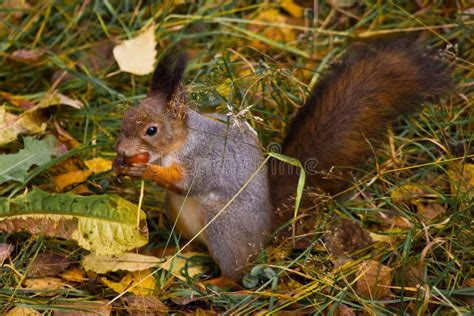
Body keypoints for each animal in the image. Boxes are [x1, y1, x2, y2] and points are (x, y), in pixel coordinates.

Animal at [114, 35, 452, 280]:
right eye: (125, 118)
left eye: (152, 130)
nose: (121, 150)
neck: (179, 143)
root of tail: (265, 230)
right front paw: (120, 167)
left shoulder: (203, 159)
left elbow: (187, 182)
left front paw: (145, 171)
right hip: (176, 214)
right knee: (192, 244)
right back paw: (165, 253)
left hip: (223, 227)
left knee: (237, 273)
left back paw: (216, 283)